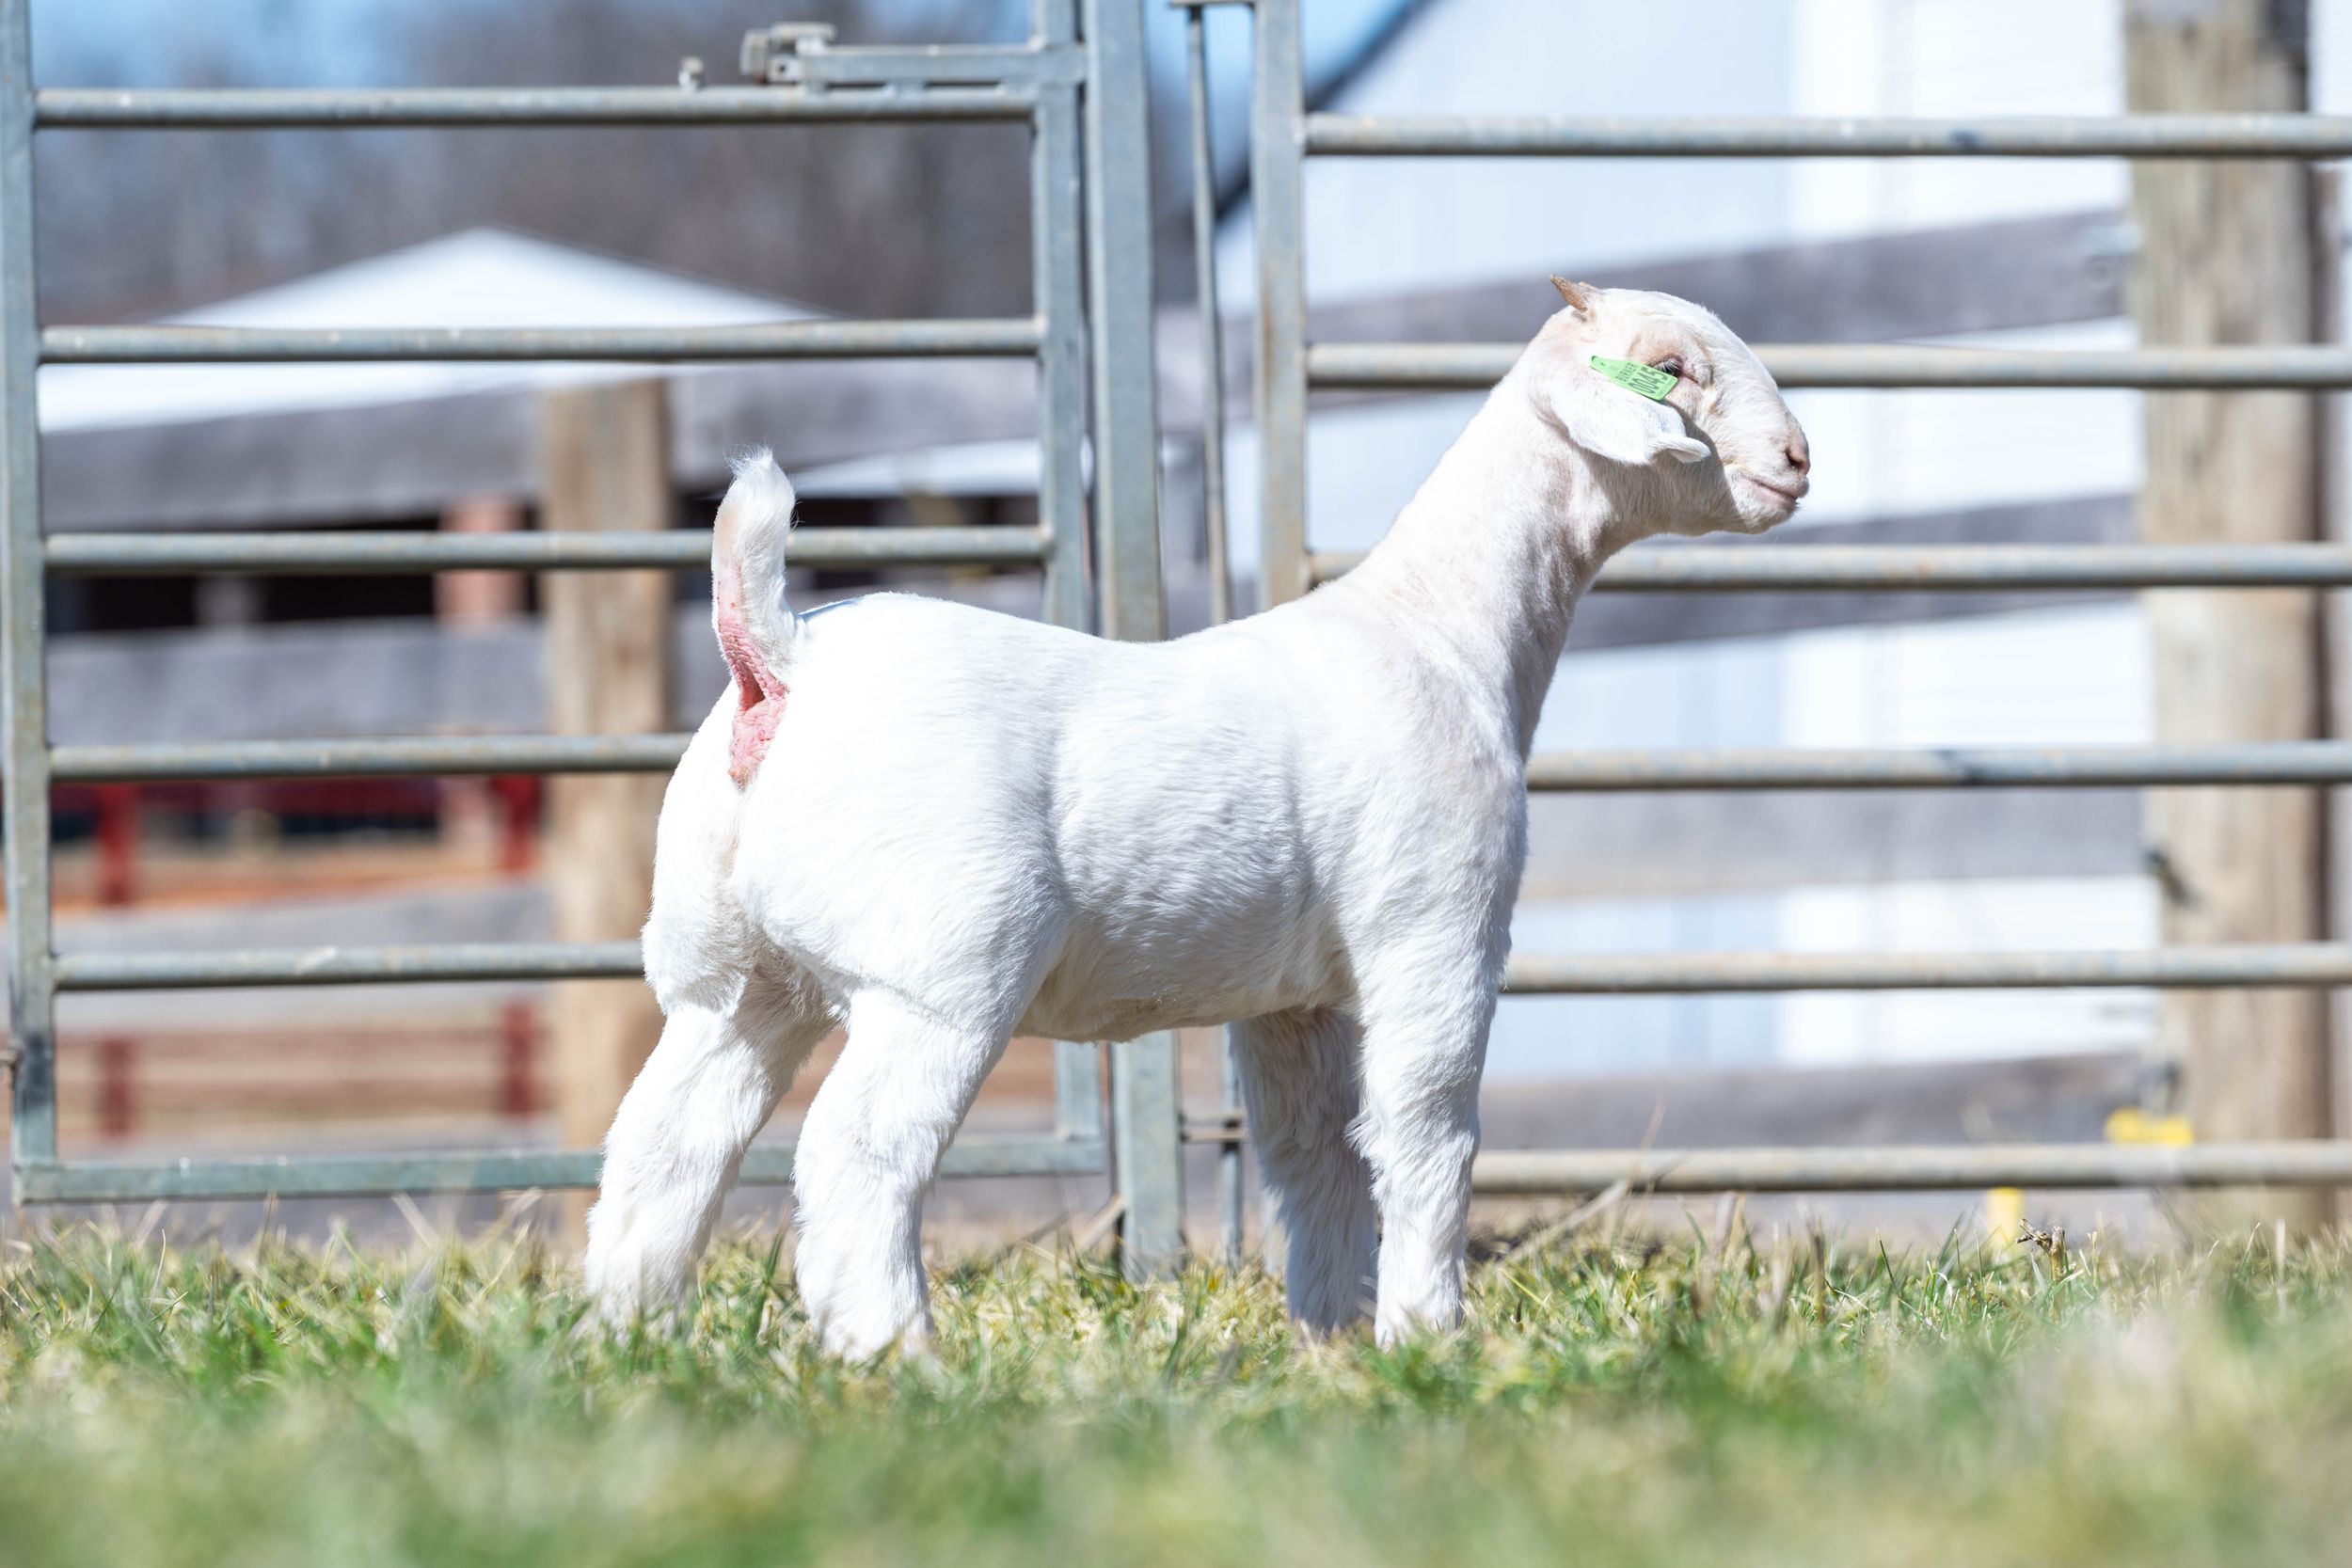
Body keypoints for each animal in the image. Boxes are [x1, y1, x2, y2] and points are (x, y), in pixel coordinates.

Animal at [582, 277, 1812, 1356]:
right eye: (1671, 368)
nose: (1798, 459)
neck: (1440, 627)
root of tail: (780, 661)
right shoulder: (1435, 935)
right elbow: (1425, 1139)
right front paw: (1428, 1334)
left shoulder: (1295, 999)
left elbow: (1316, 1157)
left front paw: (1334, 1339)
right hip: (938, 968)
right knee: (856, 1153)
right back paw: (895, 1351)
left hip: (731, 972)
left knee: (663, 1146)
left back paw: (628, 1336)